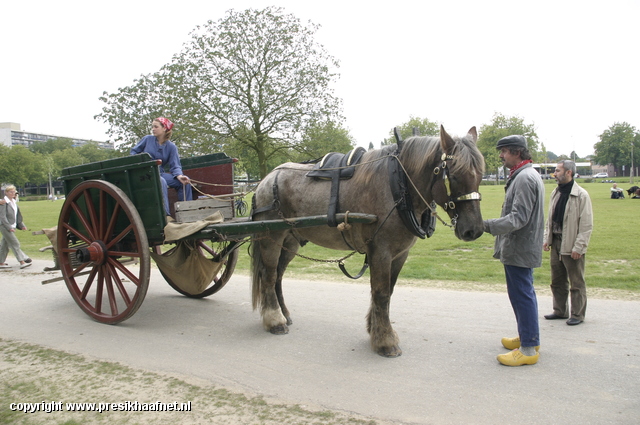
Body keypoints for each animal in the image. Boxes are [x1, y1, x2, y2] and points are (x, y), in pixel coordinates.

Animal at [250, 124, 484, 356]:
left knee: (278, 276)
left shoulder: (399, 254)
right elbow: (381, 293)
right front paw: (385, 340)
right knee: (269, 275)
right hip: (271, 238)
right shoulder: (381, 251)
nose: (474, 230)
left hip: (289, 241)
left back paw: (284, 313)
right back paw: (275, 320)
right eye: (454, 176)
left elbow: (388, 291)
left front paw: (375, 329)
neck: (398, 184)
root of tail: (267, 179)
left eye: (480, 175)